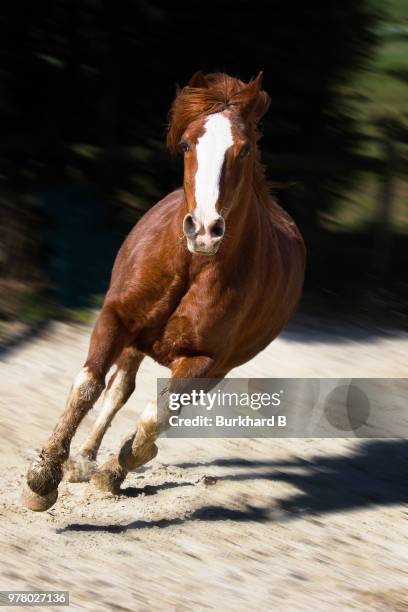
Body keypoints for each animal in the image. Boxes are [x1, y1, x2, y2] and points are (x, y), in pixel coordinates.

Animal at [21, 70, 302, 512]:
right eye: (187, 143)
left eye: (244, 150)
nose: (204, 230)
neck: (191, 266)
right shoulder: (116, 318)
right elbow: (88, 386)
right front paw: (43, 478)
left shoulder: (205, 362)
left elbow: (154, 418)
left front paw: (120, 465)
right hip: (136, 339)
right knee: (117, 390)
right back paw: (82, 461)